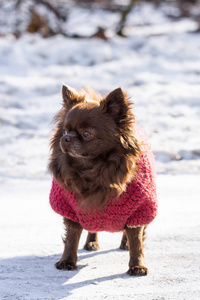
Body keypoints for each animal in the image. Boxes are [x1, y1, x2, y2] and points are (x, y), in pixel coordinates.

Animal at [48, 84, 156, 276]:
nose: (65, 138)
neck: (93, 169)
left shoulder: (139, 209)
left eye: (87, 134)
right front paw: (67, 261)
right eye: (65, 131)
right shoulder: (72, 209)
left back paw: (124, 244)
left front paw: (137, 265)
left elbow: (136, 241)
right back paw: (91, 242)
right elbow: (71, 237)